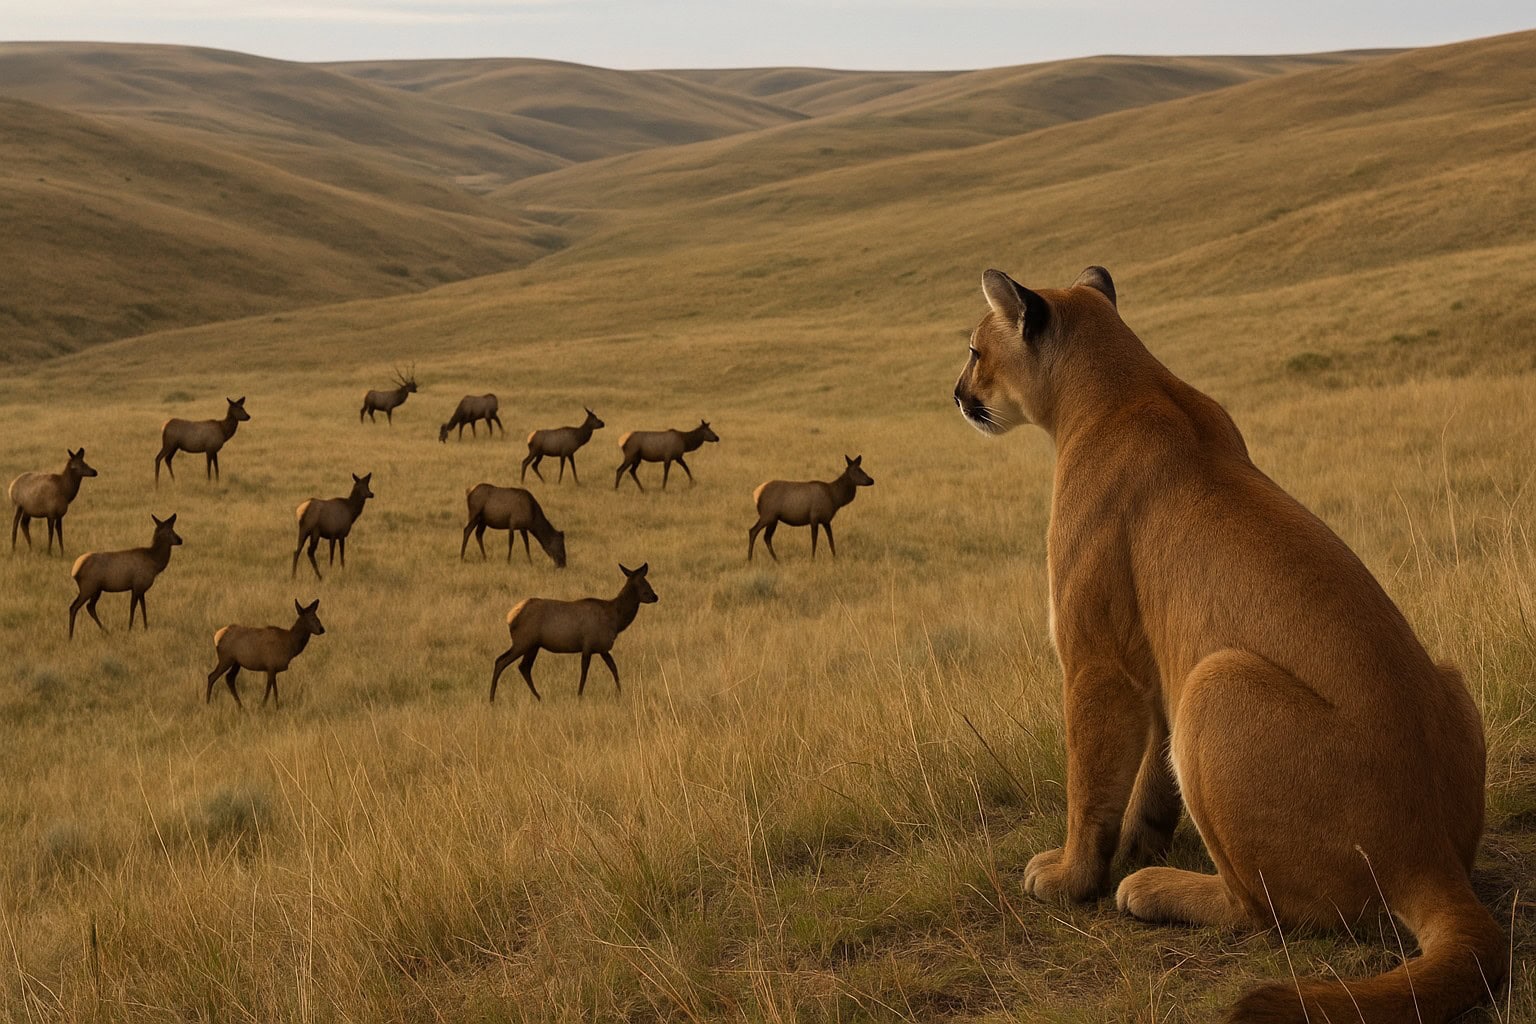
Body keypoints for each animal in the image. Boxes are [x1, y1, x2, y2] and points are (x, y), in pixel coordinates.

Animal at [489, 563, 657, 702]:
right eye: (644, 583)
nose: (656, 596)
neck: (616, 620)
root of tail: (510, 617)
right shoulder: (588, 645)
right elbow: (584, 671)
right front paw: (579, 695)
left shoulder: (602, 648)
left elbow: (614, 668)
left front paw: (620, 693)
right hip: (523, 641)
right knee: (501, 661)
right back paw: (492, 699)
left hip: (533, 645)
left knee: (523, 667)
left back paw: (538, 697)